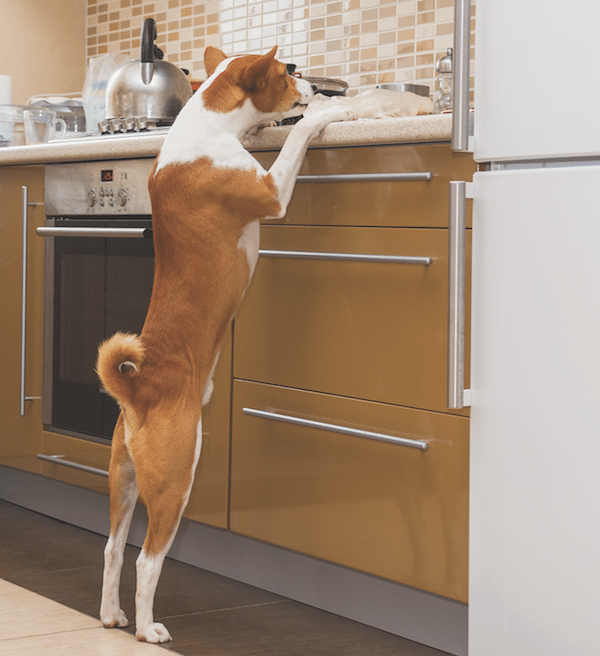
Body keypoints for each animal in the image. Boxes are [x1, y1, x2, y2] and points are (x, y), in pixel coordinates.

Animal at [95, 44, 354, 640]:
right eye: (290, 72)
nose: (323, 88)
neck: (206, 128)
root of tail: (138, 391)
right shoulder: (271, 192)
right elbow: (299, 139)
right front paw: (324, 114)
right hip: (176, 480)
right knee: (147, 559)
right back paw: (148, 627)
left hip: (124, 480)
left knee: (113, 550)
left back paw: (112, 615)